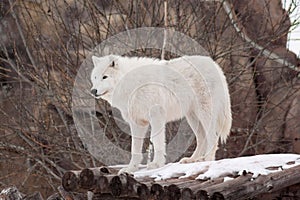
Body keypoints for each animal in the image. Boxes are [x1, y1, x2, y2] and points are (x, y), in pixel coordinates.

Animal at [90, 54, 231, 173]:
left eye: (105, 77)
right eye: (95, 77)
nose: (93, 91)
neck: (130, 83)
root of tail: (214, 65)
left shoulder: (156, 117)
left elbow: (157, 141)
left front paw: (156, 164)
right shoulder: (137, 123)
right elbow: (135, 148)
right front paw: (131, 169)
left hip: (205, 114)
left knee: (213, 137)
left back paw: (207, 159)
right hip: (192, 117)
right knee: (201, 138)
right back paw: (192, 159)